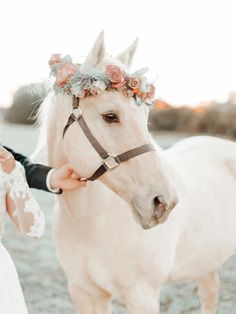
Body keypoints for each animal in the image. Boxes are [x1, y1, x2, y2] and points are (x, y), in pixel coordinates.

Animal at [37, 33, 236, 312]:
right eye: (110, 116)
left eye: (145, 115)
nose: (163, 202)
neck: (91, 220)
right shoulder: (84, 292)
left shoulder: (142, 295)